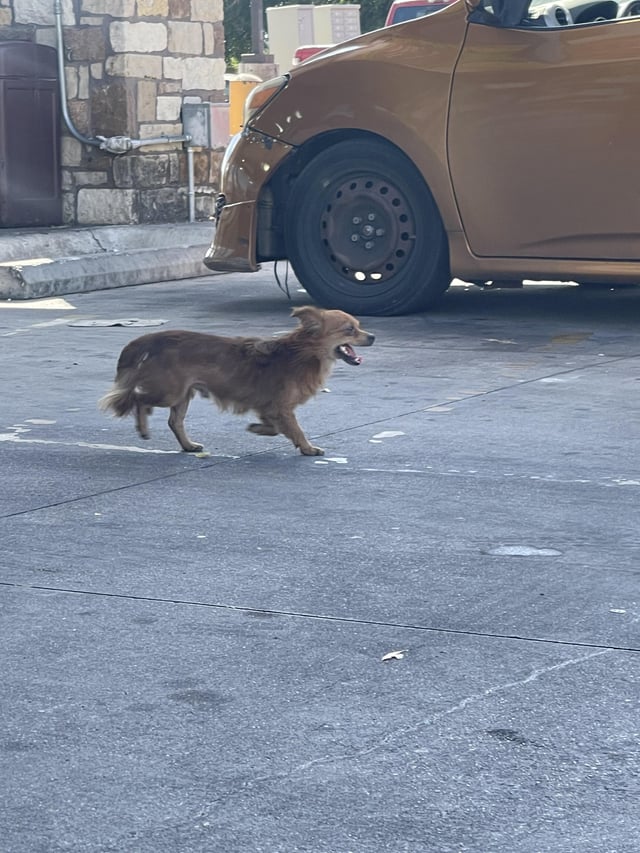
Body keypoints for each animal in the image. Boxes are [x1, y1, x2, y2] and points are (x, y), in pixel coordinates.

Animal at [97, 304, 372, 456]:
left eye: (358, 326)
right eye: (350, 329)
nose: (372, 336)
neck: (303, 353)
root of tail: (154, 338)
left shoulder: (269, 407)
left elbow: (275, 428)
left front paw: (257, 429)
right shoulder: (281, 407)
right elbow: (296, 429)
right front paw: (307, 448)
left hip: (183, 394)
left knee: (174, 421)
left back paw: (188, 445)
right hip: (169, 392)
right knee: (139, 399)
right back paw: (143, 428)